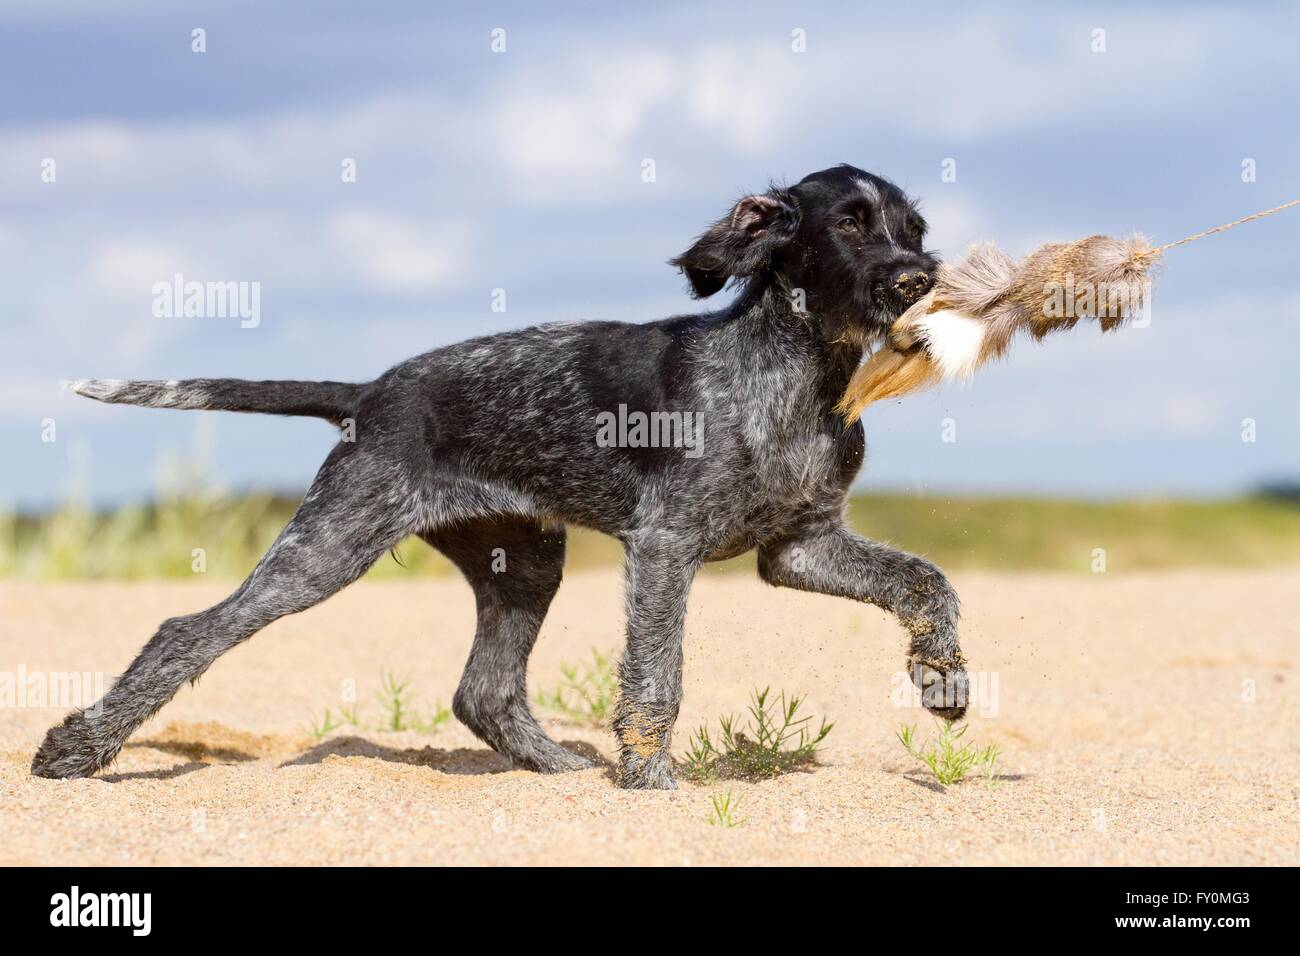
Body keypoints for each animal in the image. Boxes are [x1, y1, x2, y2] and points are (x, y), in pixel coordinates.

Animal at [32, 166, 967, 790]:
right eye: (849, 224)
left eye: (915, 229)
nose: (920, 278)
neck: (801, 376)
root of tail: (369, 393)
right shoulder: (667, 546)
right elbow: (656, 676)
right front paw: (650, 784)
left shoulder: (802, 546)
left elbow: (927, 580)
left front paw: (943, 674)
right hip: (328, 547)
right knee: (185, 632)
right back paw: (76, 749)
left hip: (522, 560)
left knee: (483, 691)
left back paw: (558, 768)